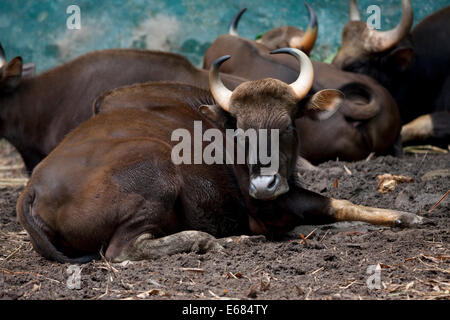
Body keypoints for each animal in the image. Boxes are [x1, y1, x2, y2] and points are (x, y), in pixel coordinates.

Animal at [15, 48, 420, 264]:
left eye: (289, 125)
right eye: (241, 129)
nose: (264, 184)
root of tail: (31, 189)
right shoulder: (270, 208)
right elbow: (335, 203)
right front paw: (403, 216)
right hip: (158, 171)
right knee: (122, 249)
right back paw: (215, 240)